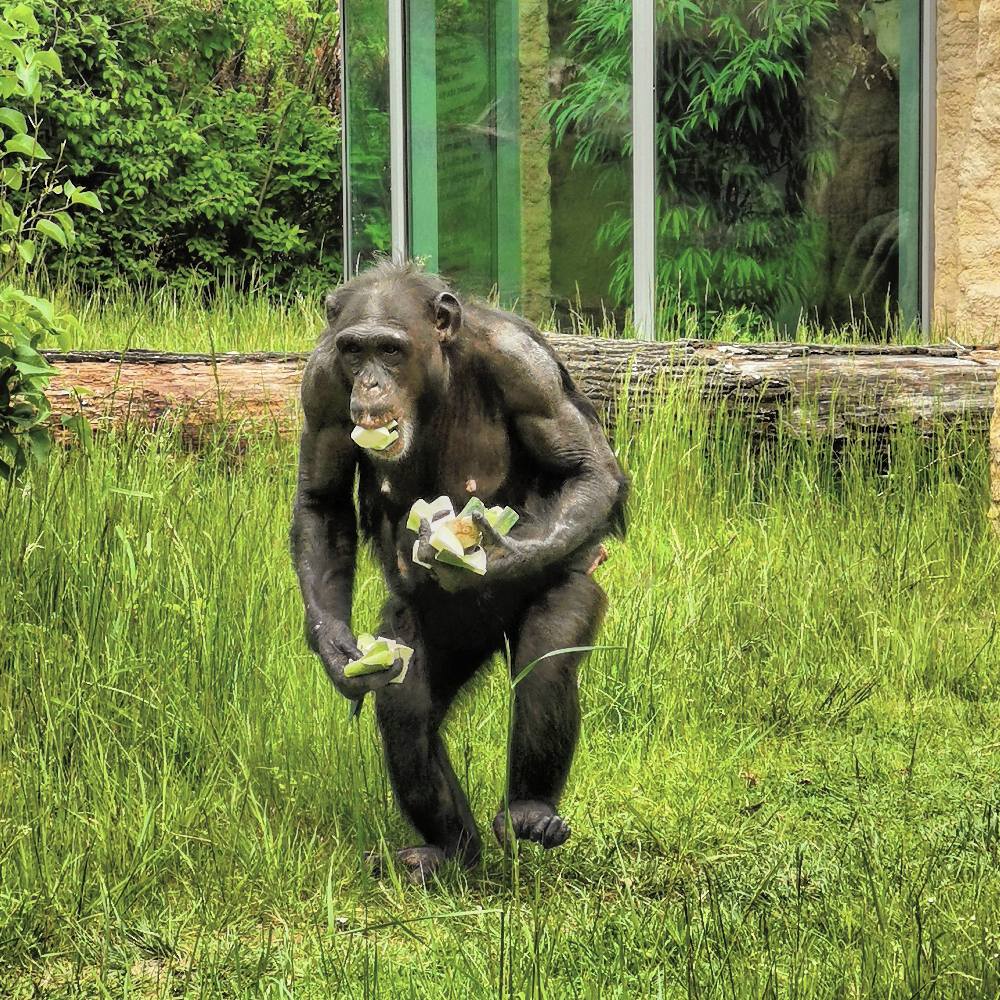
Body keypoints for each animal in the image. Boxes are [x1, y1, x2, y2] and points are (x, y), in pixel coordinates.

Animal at [290, 260, 624, 884]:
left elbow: (587, 470)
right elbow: (321, 500)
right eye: (354, 351)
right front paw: (336, 649)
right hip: (434, 631)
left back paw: (530, 811)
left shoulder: (525, 366)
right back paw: (449, 849)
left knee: (545, 661)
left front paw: (491, 552)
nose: (370, 383)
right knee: (405, 708)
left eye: (390, 350)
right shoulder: (320, 383)